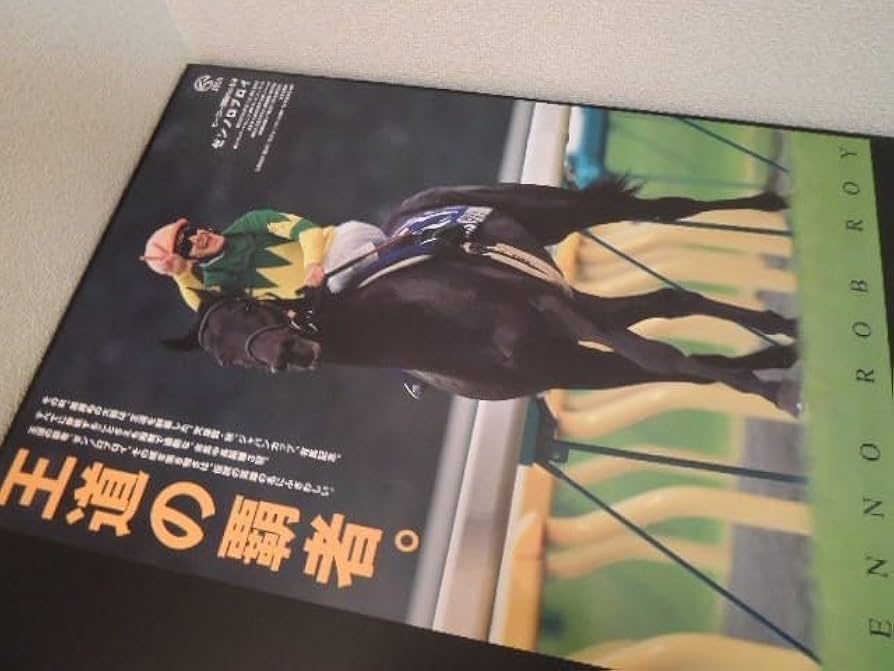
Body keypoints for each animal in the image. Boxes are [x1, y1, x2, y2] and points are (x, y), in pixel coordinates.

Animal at [167, 181, 800, 414]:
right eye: (223, 358)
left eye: (246, 308)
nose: (288, 355)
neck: (433, 329)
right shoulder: (570, 362)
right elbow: (671, 368)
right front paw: (768, 377)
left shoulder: (557, 314)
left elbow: (662, 357)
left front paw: (778, 393)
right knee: (669, 301)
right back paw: (781, 339)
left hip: (565, 215)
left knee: (662, 210)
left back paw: (772, 204)